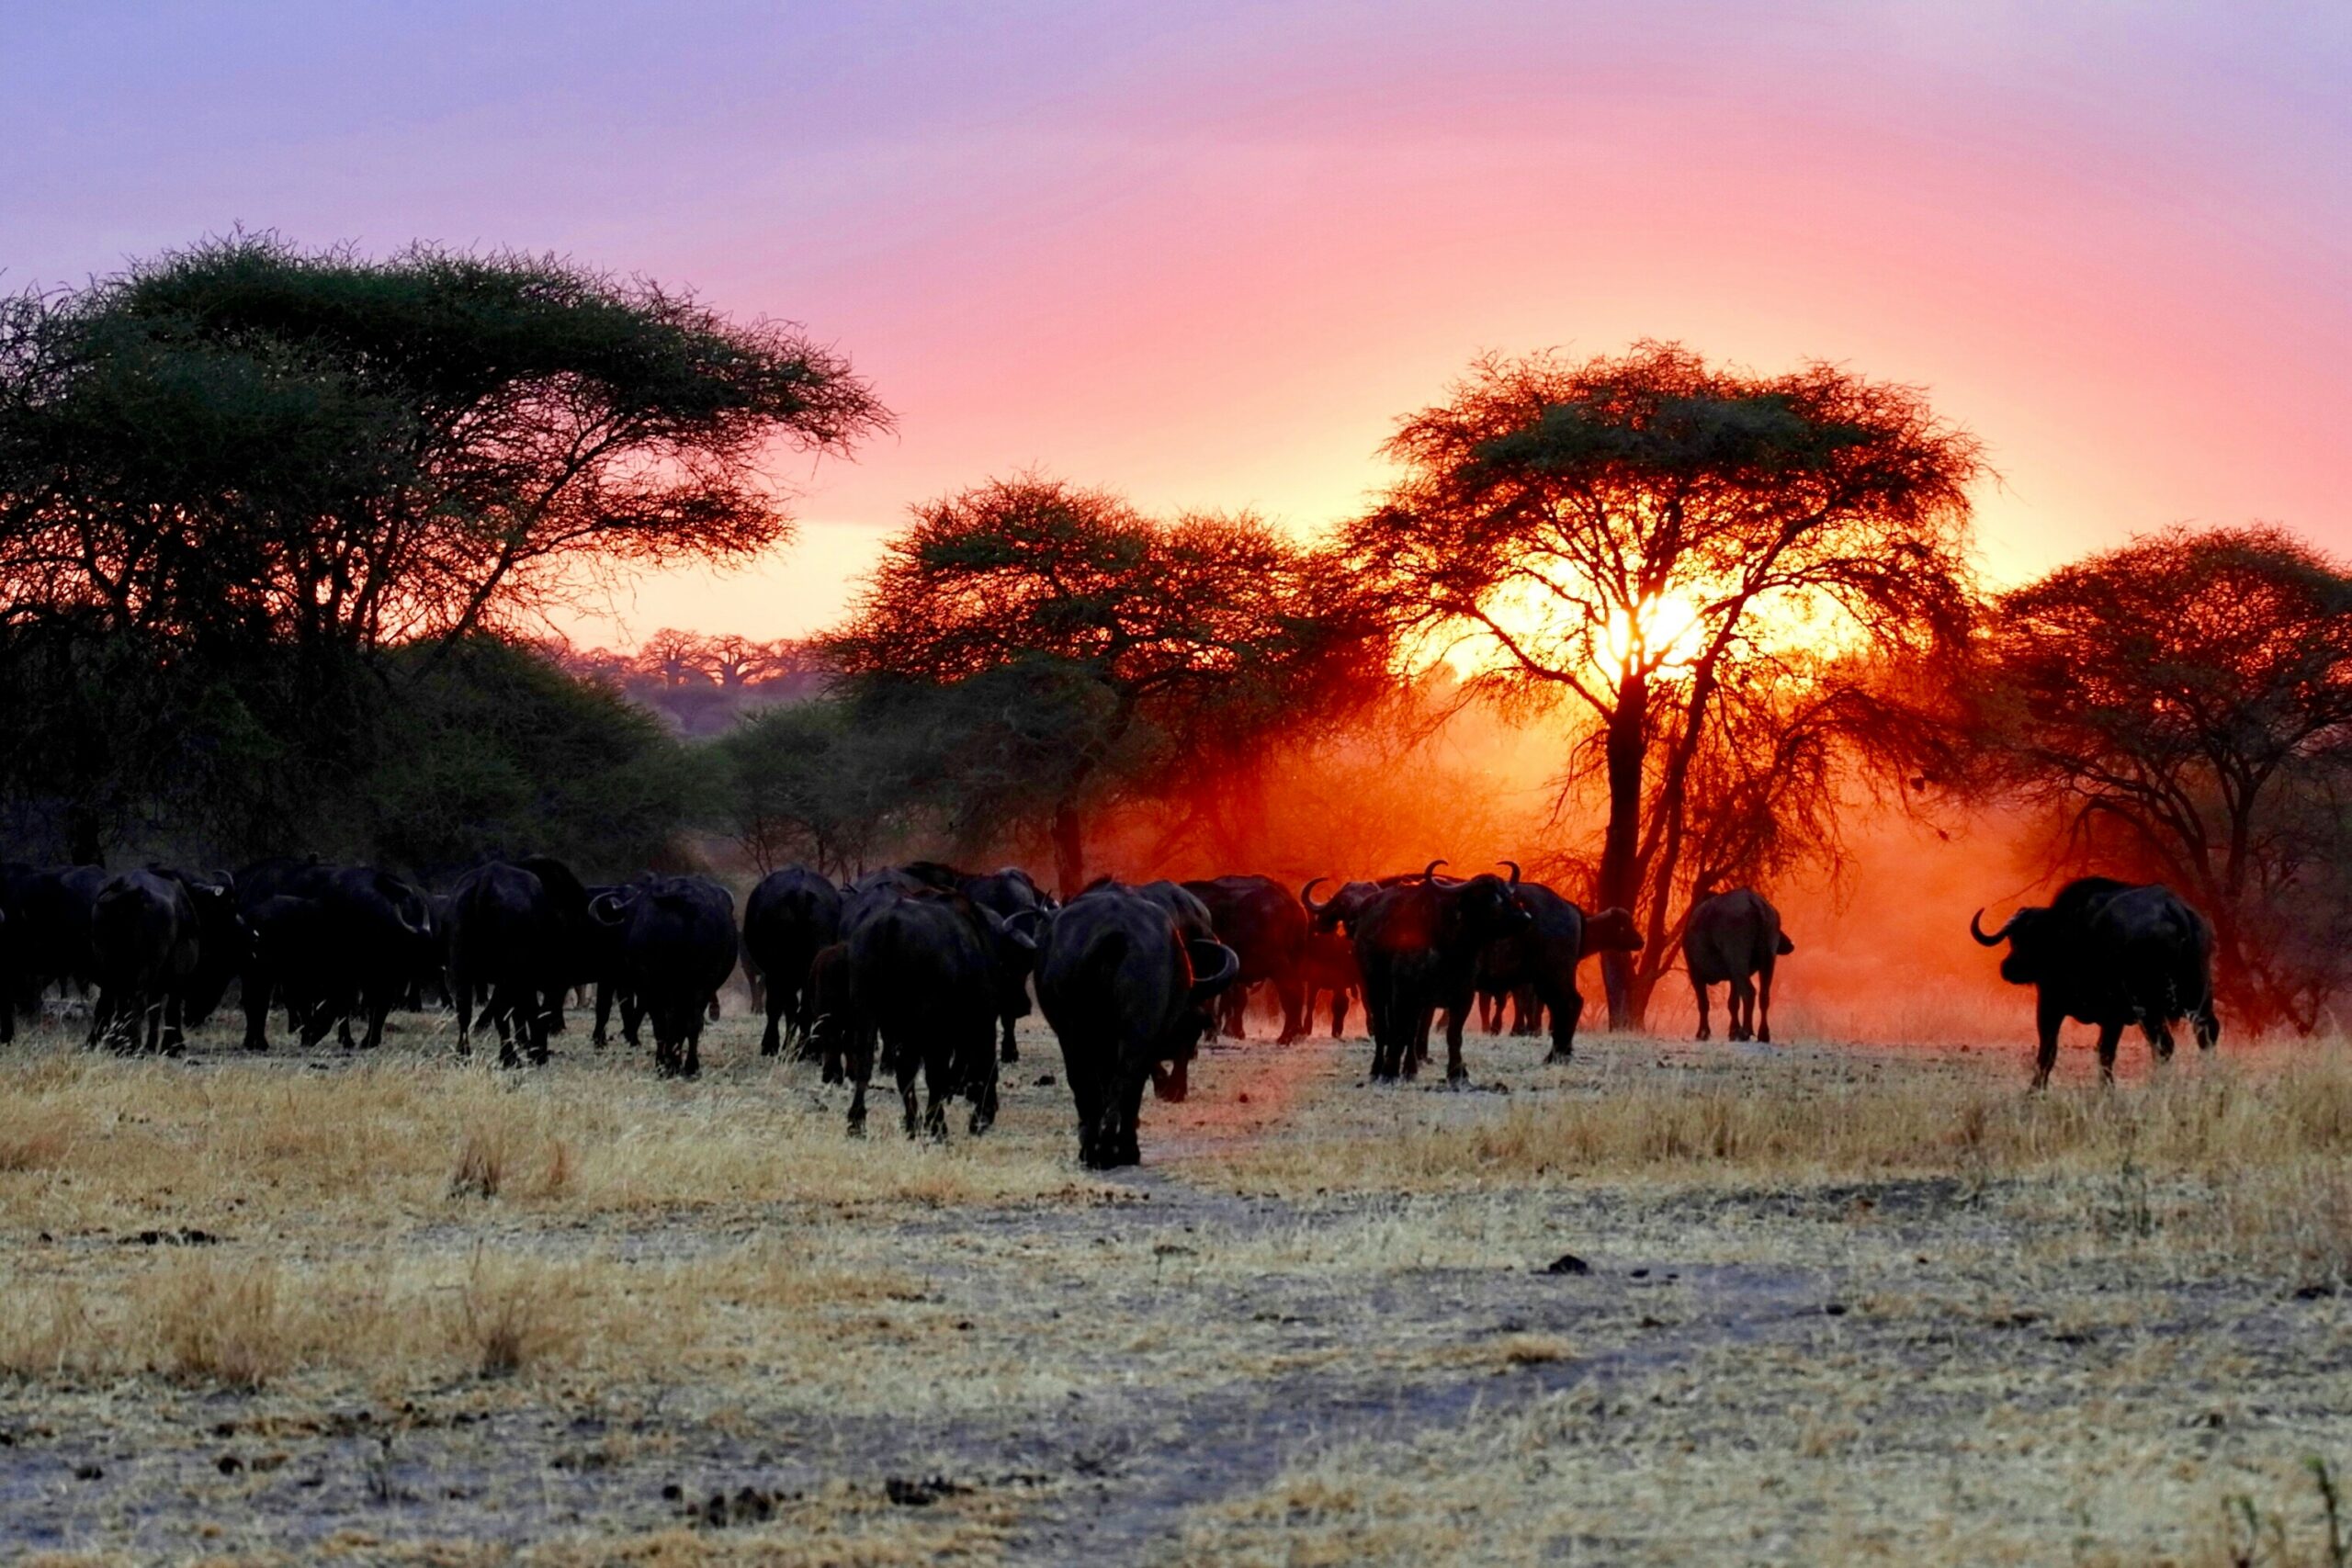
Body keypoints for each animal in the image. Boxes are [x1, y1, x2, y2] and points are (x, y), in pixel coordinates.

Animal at [1035, 881, 1241, 1168]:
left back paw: (1105, 1148)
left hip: (1082, 1032)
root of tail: (1116, 933)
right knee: (1120, 1081)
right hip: (1123, 1031)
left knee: (1107, 1081)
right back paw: (1114, 1147)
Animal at [1684, 889, 1795, 1045]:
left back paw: (1745, 1032)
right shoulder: (1732, 977)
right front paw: (1733, 1031)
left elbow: (1704, 1003)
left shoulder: (1695, 972)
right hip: (1768, 961)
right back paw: (1763, 1034)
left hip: (1738, 961)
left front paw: (1702, 1033)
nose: (1790, 944)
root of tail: (1755, 902)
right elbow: (1733, 1003)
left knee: (1749, 992)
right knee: (1764, 995)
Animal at [1970, 877, 2219, 1087]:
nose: (2008, 969)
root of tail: (2173, 908)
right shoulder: (2113, 1020)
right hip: (2199, 998)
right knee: (2206, 1034)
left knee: (2164, 1046)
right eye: (2014, 937)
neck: (2064, 934)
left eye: (2027, 940)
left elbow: (2050, 1052)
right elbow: (2104, 1053)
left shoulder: (2053, 1005)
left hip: (2148, 1008)